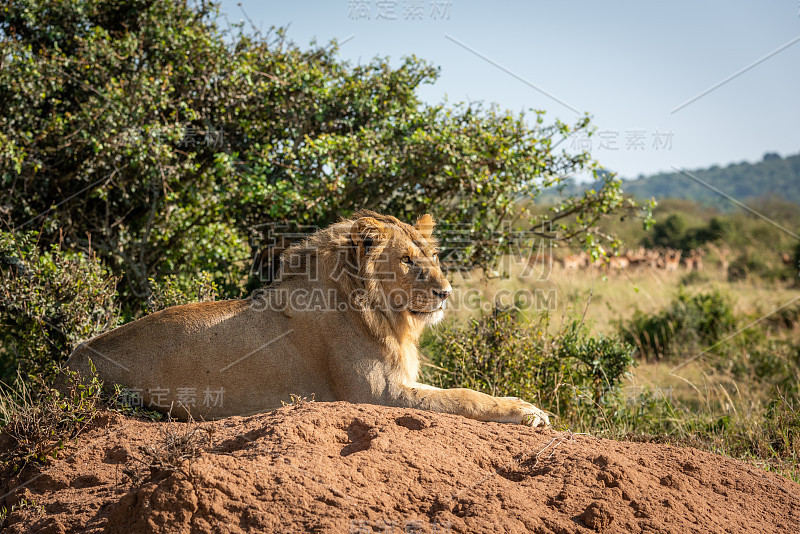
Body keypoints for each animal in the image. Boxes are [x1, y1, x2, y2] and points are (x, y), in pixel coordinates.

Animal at [65, 211, 552, 430]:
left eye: (432, 257)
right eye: (407, 261)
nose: (445, 292)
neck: (378, 311)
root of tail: (66, 363)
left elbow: (458, 391)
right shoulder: (377, 395)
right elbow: (463, 397)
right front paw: (529, 412)